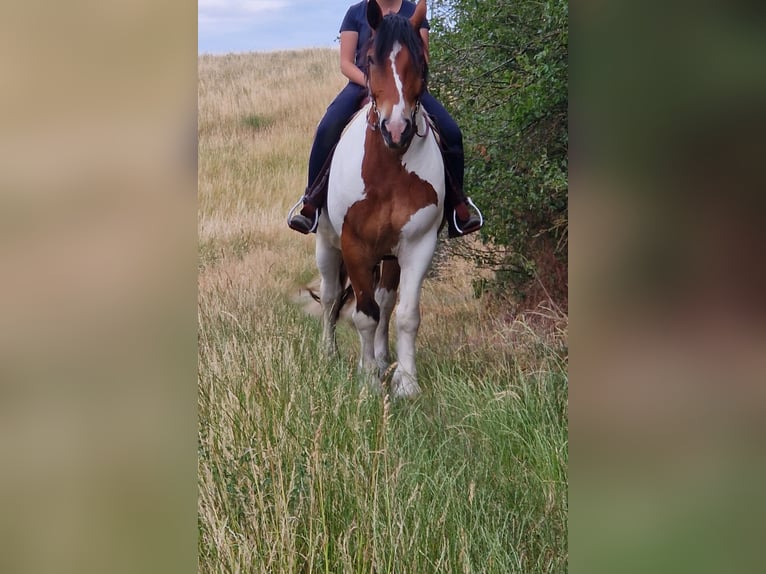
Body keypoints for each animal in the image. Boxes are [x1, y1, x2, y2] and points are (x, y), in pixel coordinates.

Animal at [316, 0, 444, 398]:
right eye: (371, 58)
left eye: (420, 61)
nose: (397, 130)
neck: (386, 168)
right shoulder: (354, 244)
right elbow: (363, 314)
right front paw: (369, 381)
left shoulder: (418, 243)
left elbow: (405, 315)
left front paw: (406, 383)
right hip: (327, 245)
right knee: (330, 297)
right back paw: (329, 355)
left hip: (389, 255)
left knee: (385, 302)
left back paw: (384, 357)